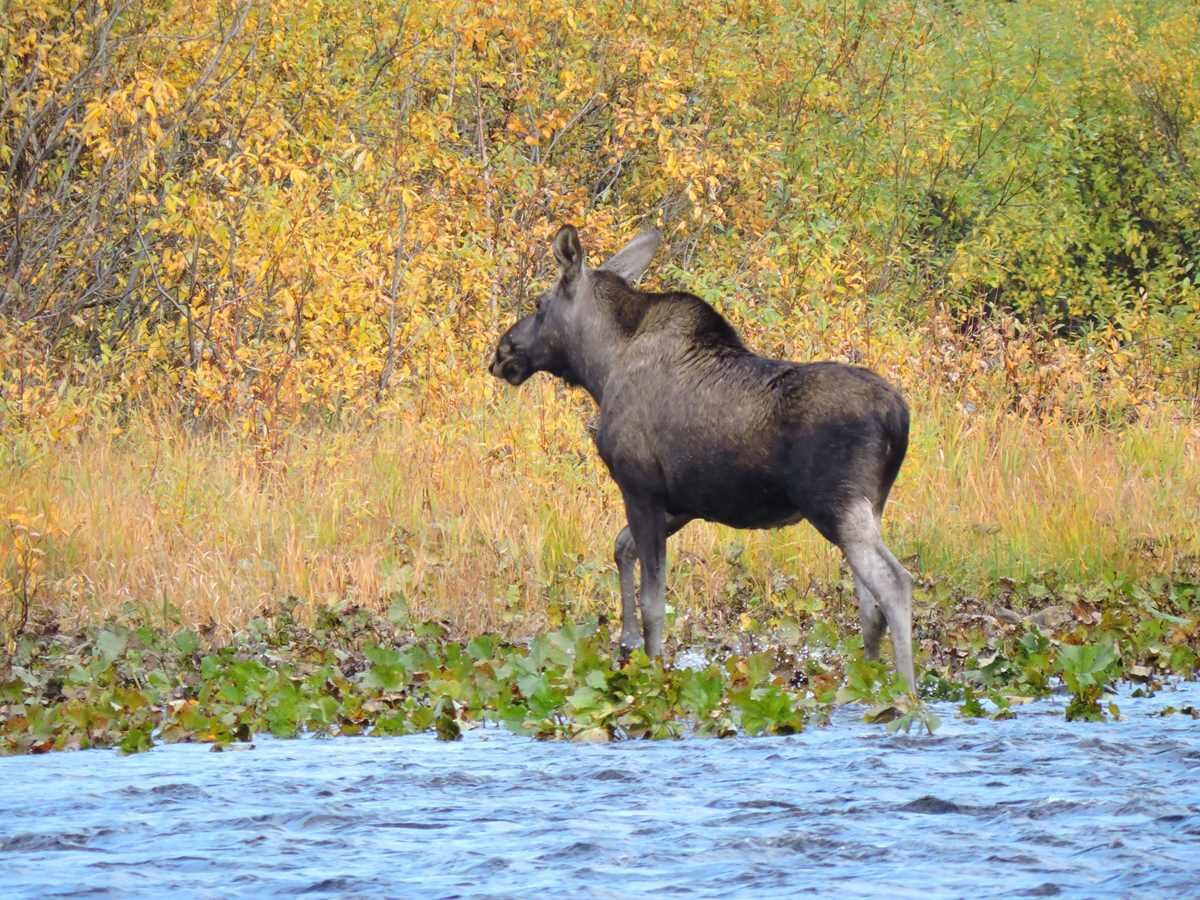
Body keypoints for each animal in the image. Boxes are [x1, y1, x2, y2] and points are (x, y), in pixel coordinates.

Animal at [492, 225, 912, 691]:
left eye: (539, 304)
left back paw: (907, 696)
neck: (600, 369)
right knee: (869, 605)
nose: (503, 351)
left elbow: (653, 599)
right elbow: (621, 547)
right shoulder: (683, 503)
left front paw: (653, 673)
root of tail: (899, 416)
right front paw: (625, 645)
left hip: (835, 505)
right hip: (871, 506)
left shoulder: (640, 486)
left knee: (894, 584)